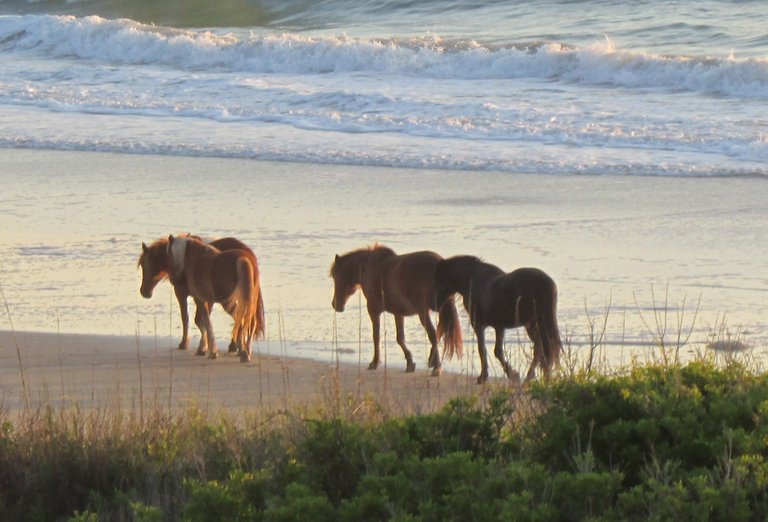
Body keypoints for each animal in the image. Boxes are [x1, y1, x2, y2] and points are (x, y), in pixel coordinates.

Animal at [138, 234, 268, 360]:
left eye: (144, 265)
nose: (144, 292)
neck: (192, 259)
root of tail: (244, 258)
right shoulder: (205, 300)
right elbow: (202, 322)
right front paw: (205, 348)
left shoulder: (192, 297)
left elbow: (196, 320)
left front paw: (200, 348)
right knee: (248, 320)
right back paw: (245, 350)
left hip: (227, 301)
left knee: (241, 319)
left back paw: (241, 349)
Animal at [330, 244, 462, 374]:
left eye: (336, 277)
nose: (335, 305)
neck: (368, 267)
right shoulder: (398, 313)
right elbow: (400, 338)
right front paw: (410, 363)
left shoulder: (373, 310)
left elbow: (376, 336)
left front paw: (374, 362)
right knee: (438, 333)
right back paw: (432, 361)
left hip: (424, 311)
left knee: (433, 334)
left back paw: (436, 366)